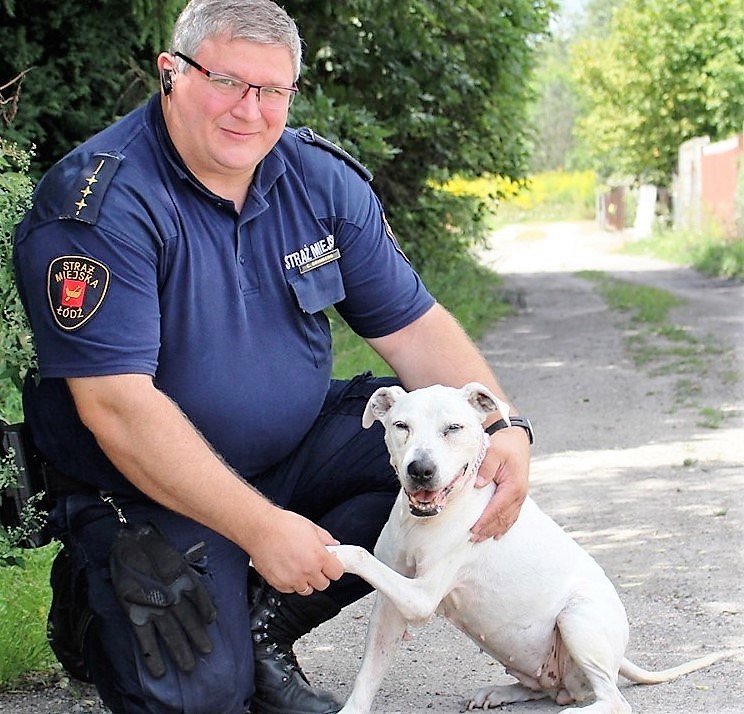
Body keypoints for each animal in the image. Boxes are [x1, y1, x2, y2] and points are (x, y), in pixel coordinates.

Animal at [328, 384, 728, 712]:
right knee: (546, 688)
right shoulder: (390, 608)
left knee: (614, 701)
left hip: (577, 619)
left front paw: (328, 552)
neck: (423, 521)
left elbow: (358, 553)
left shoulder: (421, 596)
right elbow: (369, 671)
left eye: (453, 428)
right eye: (401, 426)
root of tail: (619, 657)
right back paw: (498, 692)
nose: (421, 470)